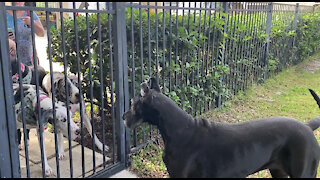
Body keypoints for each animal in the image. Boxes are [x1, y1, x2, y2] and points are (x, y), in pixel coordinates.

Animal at [123, 78, 320, 178]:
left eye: (132, 103)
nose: (124, 117)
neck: (178, 131)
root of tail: (307, 126)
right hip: (279, 172)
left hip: (304, 172)